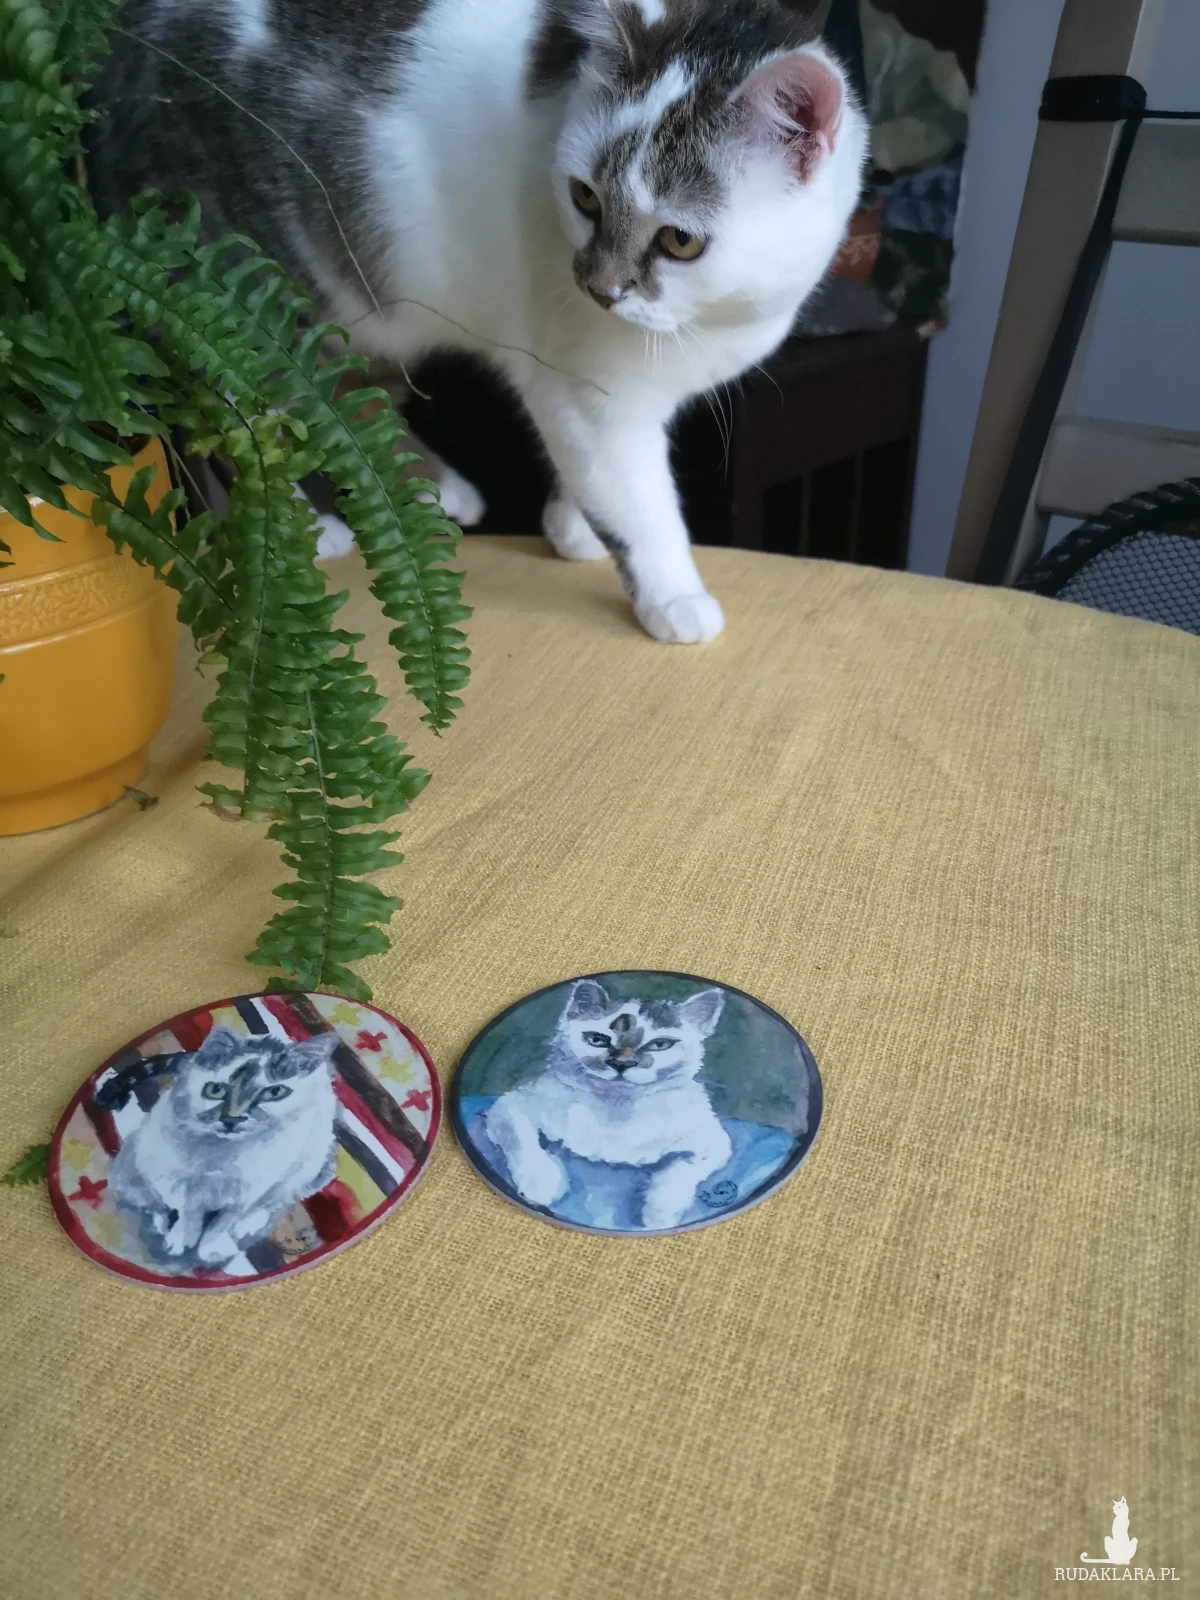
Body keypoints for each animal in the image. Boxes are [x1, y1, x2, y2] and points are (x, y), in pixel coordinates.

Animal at [88, 0, 866, 643]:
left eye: (679, 240)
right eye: (585, 197)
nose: (598, 287)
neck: (712, 320)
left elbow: (591, 479)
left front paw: (571, 527)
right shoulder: (588, 394)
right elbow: (639, 501)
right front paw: (671, 595)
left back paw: (434, 485)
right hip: (240, 297)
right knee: (227, 422)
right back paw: (315, 529)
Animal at [107, 1027, 341, 1267]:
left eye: (274, 1092)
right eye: (215, 1090)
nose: (232, 1118)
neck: (222, 1157)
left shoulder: (249, 1191)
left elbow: (224, 1222)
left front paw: (211, 1248)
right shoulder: (176, 1178)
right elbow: (187, 1211)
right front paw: (181, 1240)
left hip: (313, 1162)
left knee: (279, 1198)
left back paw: (248, 1223)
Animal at [483, 978, 732, 1229]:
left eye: (660, 1044)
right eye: (596, 1040)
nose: (621, 1063)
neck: (616, 1109)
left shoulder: (713, 1138)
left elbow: (682, 1169)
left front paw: (659, 1211)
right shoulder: (511, 1104)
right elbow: (521, 1138)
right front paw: (541, 1182)